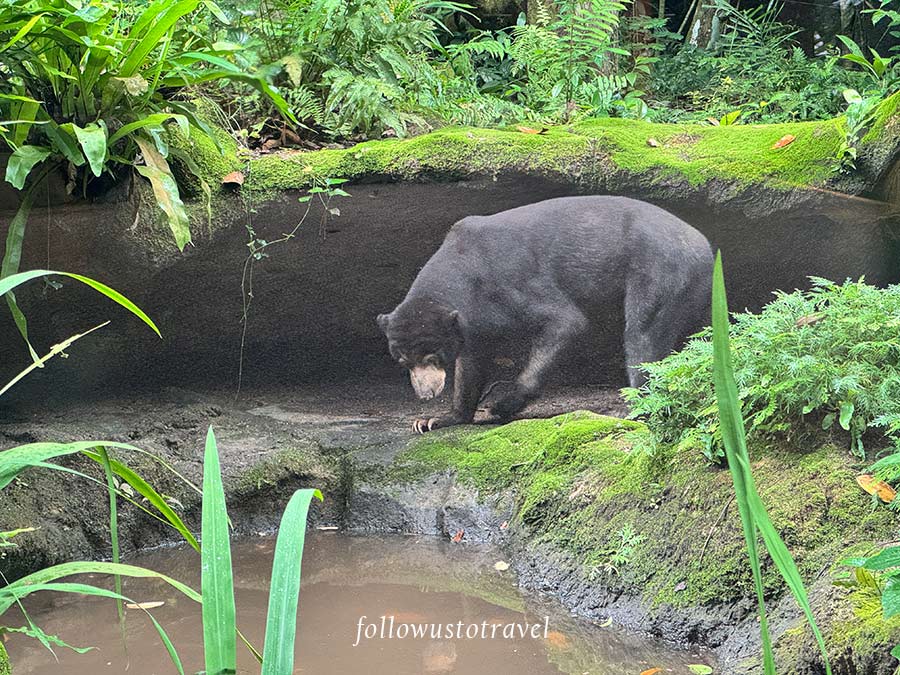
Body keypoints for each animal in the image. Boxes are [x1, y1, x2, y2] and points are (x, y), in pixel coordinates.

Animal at [377, 195, 713, 433]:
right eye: (403, 361)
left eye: (432, 356)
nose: (426, 394)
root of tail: (705, 246)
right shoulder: (471, 323)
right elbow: (471, 364)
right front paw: (435, 419)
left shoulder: (509, 281)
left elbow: (566, 322)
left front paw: (496, 406)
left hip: (661, 272)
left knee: (642, 337)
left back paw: (634, 408)